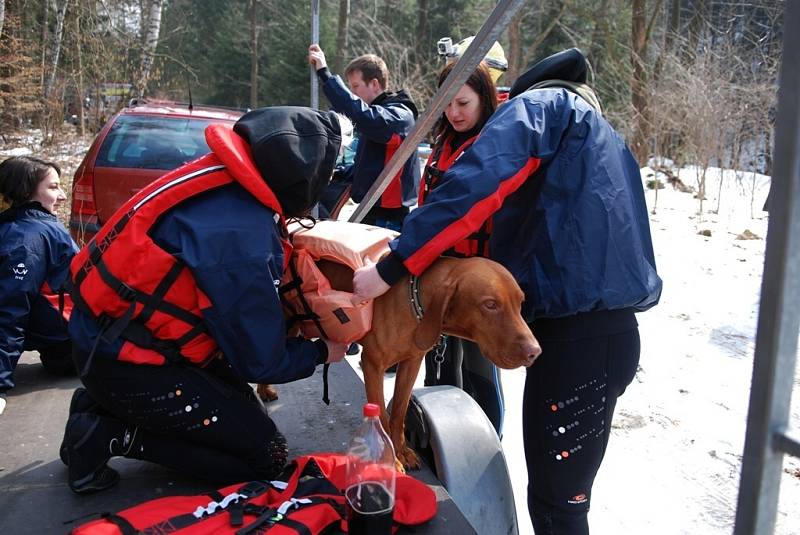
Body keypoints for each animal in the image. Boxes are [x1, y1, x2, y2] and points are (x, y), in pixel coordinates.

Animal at [316, 255, 540, 468]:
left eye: (520, 303)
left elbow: (399, 412)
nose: (535, 352)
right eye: (490, 305)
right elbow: (381, 417)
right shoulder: (372, 365)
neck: (412, 301)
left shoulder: (412, 363)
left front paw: (401, 451)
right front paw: (390, 460)